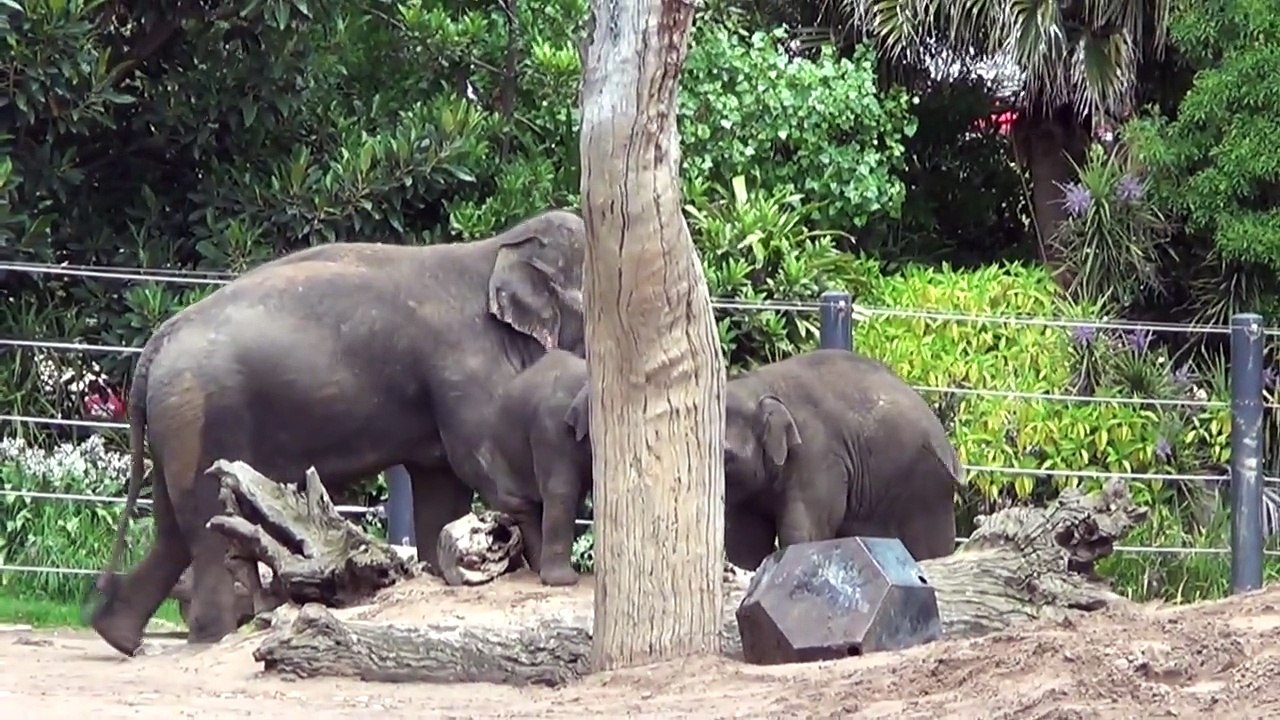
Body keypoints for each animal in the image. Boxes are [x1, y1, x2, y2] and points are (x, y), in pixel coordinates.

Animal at [477, 348, 592, 587]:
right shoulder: (551, 429)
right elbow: (560, 490)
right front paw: (562, 582)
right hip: (500, 461)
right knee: (525, 507)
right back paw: (542, 572)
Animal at [721, 348, 963, 571]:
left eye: (726, 455)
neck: (761, 385)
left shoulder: (817, 455)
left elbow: (803, 533)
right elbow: (745, 540)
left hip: (926, 485)